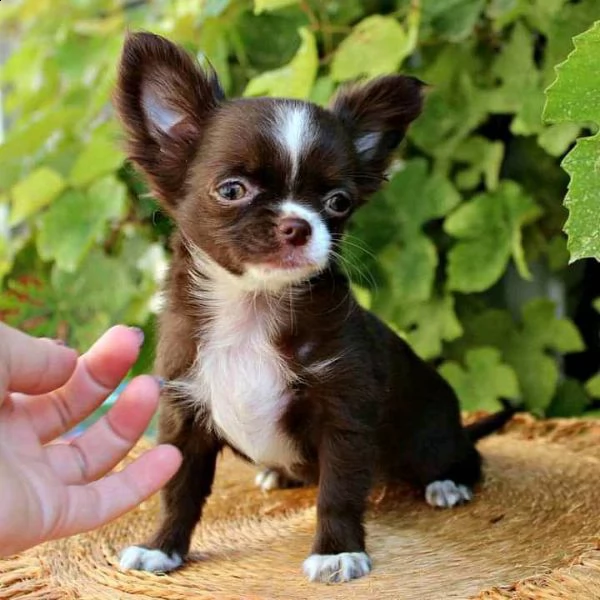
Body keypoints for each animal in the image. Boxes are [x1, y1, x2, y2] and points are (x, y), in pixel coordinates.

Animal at [116, 31, 516, 580]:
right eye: (232, 189)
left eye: (338, 202)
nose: (297, 224)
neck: (251, 309)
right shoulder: (185, 412)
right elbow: (178, 491)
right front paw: (162, 549)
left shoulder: (343, 413)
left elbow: (338, 492)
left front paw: (336, 551)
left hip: (433, 437)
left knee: (465, 457)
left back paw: (447, 483)